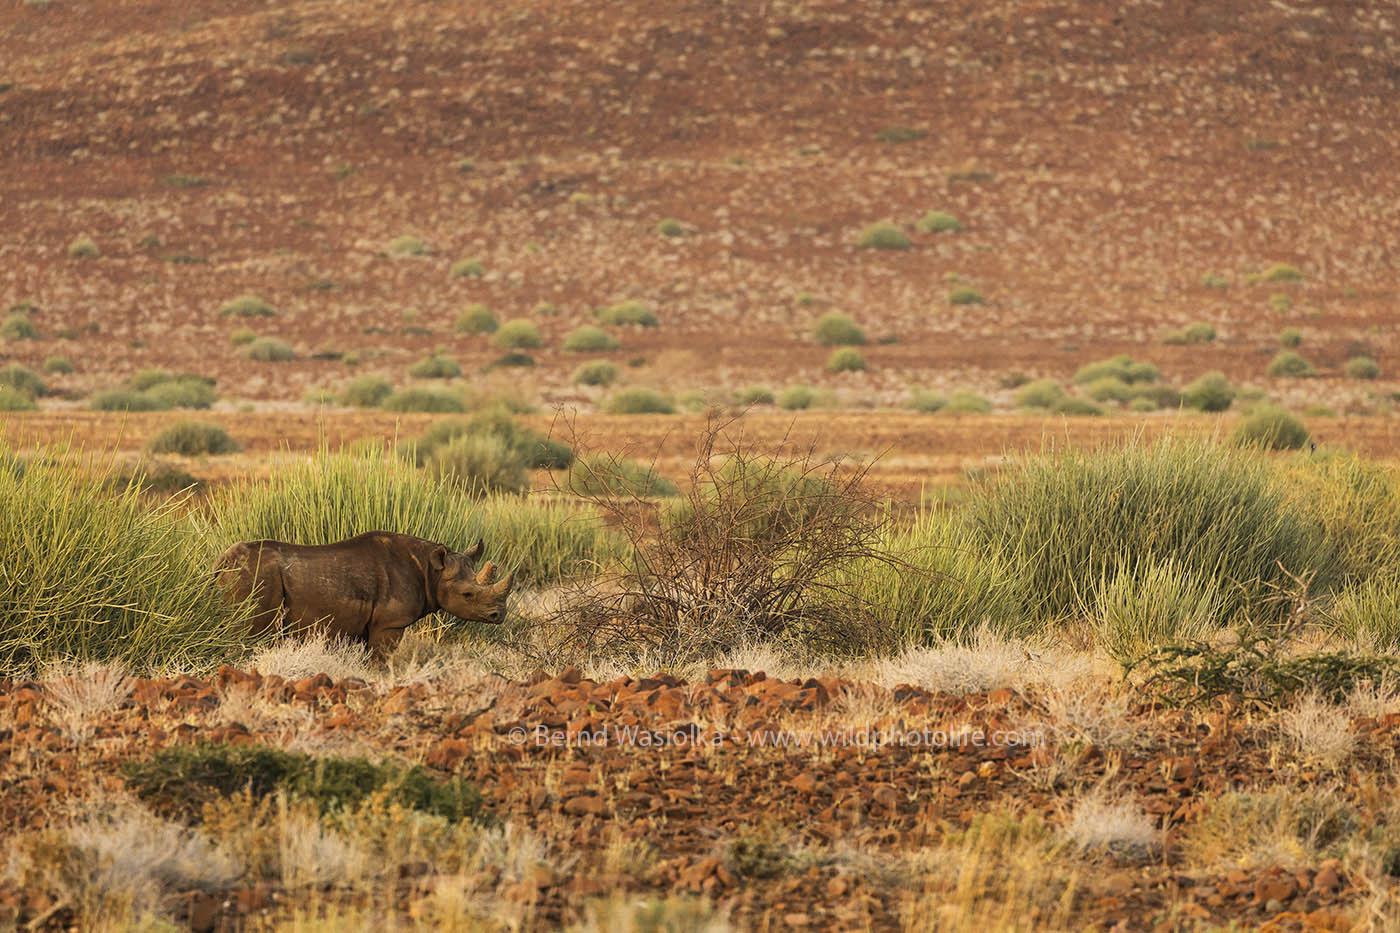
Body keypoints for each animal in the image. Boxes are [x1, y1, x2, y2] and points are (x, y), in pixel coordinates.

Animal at [212, 529, 509, 652]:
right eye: (468, 595)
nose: (499, 615)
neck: (430, 571)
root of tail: (221, 562)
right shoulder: (390, 624)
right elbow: (380, 660)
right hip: (255, 576)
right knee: (252, 631)